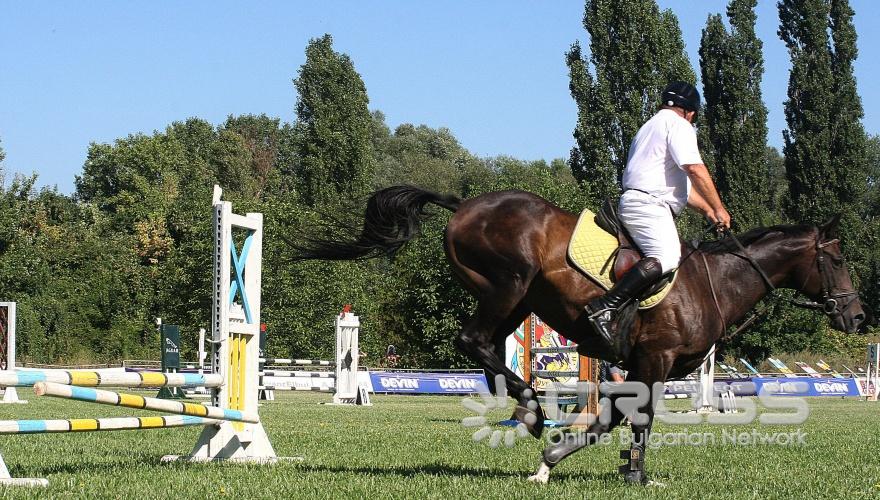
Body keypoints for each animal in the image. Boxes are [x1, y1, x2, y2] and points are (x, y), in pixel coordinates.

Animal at [298, 186, 868, 482]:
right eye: (838, 259)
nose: (857, 319)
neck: (716, 281)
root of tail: (464, 205)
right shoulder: (655, 360)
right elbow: (638, 418)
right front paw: (634, 474)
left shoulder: (638, 366)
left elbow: (611, 418)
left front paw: (554, 460)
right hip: (508, 285)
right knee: (472, 340)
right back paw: (530, 407)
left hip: (518, 301)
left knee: (482, 345)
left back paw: (528, 409)